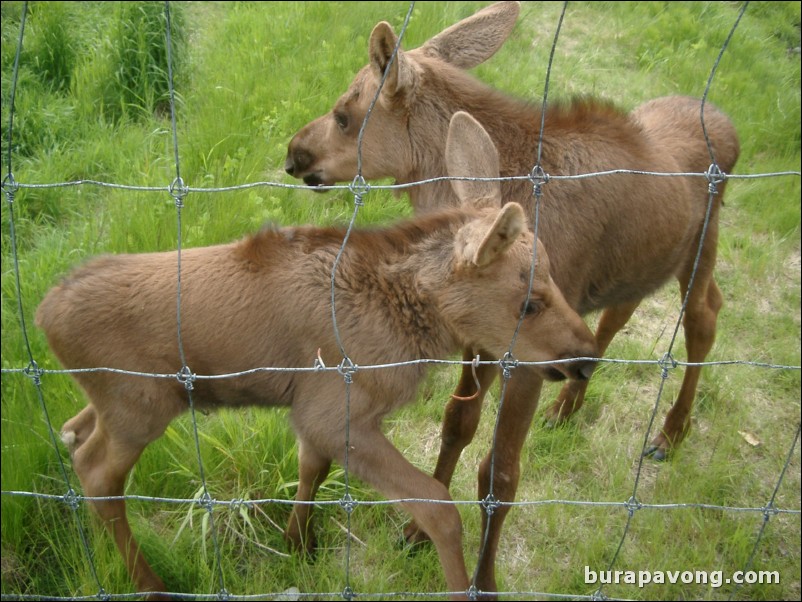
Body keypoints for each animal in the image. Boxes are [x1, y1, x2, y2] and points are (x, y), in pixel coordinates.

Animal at [37, 111, 596, 596]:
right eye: (530, 302)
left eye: (552, 272)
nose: (587, 356)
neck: (405, 331)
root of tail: (45, 315)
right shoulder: (335, 411)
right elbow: (438, 506)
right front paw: (466, 589)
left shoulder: (311, 411)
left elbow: (313, 469)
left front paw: (297, 541)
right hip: (140, 406)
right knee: (96, 473)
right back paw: (151, 585)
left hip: (116, 401)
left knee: (72, 430)